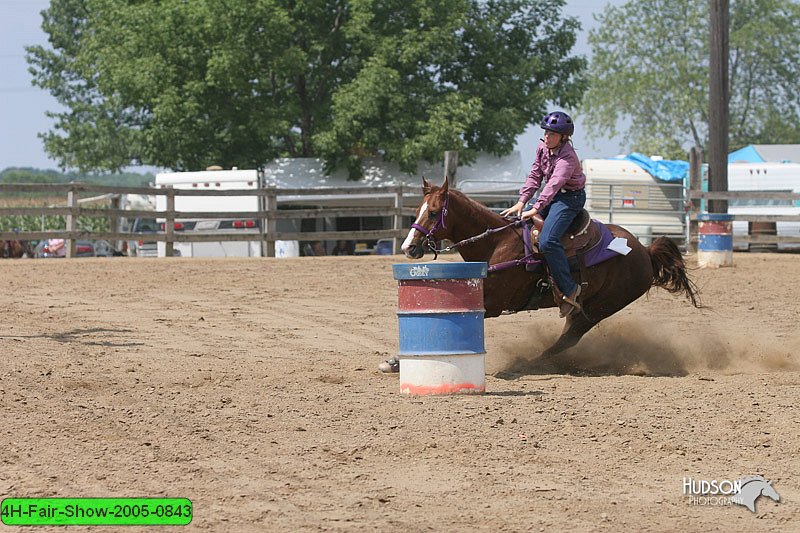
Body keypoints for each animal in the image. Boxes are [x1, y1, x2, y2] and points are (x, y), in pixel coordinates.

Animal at [400, 178, 700, 358]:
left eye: (434, 212)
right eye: (417, 210)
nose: (408, 247)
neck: (496, 242)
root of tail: (644, 251)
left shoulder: (494, 302)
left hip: (603, 306)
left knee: (570, 338)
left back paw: (535, 361)